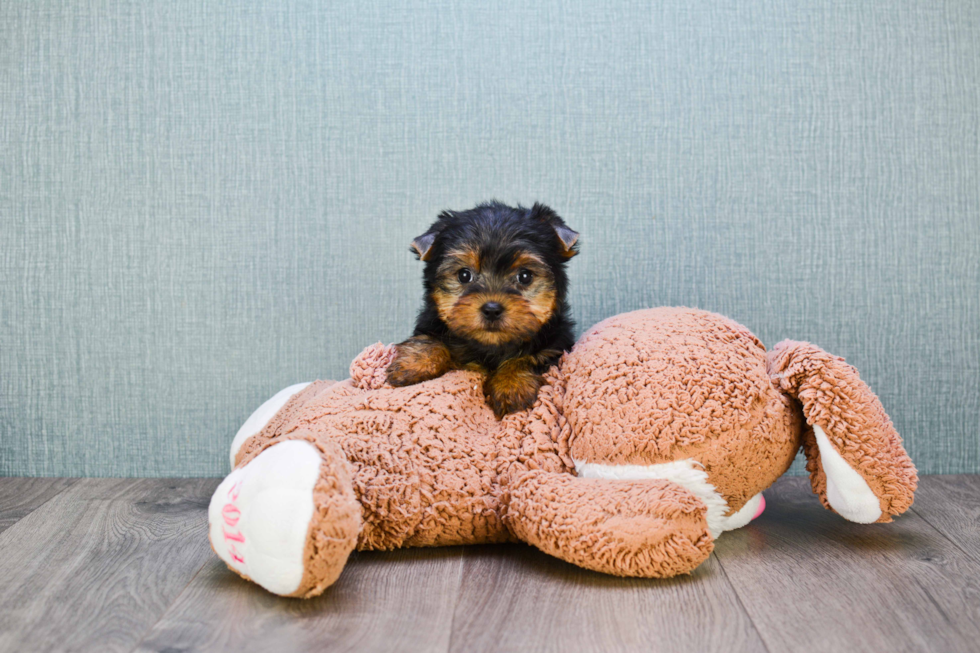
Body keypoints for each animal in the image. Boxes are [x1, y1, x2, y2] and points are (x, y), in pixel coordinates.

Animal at [384, 201, 580, 418]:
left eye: (525, 276)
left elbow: (530, 357)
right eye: (464, 275)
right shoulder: (431, 323)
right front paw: (413, 364)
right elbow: (429, 339)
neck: (490, 346)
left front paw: (511, 384)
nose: (492, 309)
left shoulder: (556, 344)